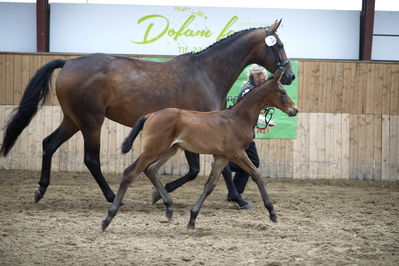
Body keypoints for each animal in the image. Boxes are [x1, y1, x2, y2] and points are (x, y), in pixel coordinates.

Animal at [102, 69, 296, 231]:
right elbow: (256, 173)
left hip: (169, 150)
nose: (295, 110)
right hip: (153, 149)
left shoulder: (221, 157)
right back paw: (108, 218)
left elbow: (210, 184)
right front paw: (272, 213)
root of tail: (150, 115)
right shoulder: (237, 153)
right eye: (283, 92)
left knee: (151, 170)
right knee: (130, 172)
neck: (237, 118)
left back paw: (169, 207)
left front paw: (192, 218)